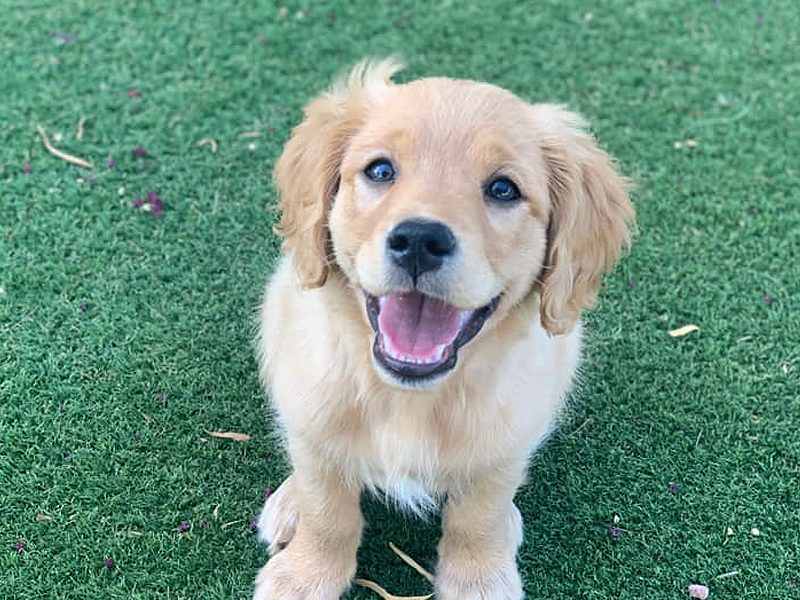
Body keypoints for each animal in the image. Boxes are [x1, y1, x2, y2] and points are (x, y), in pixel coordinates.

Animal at [253, 58, 636, 596]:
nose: (419, 239)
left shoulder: (506, 440)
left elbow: (478, 513)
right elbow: (327, 506)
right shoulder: (313, 415)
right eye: (380, 170)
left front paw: (478, 579)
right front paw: (304, 576)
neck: (409, 398)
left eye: (503, 189)